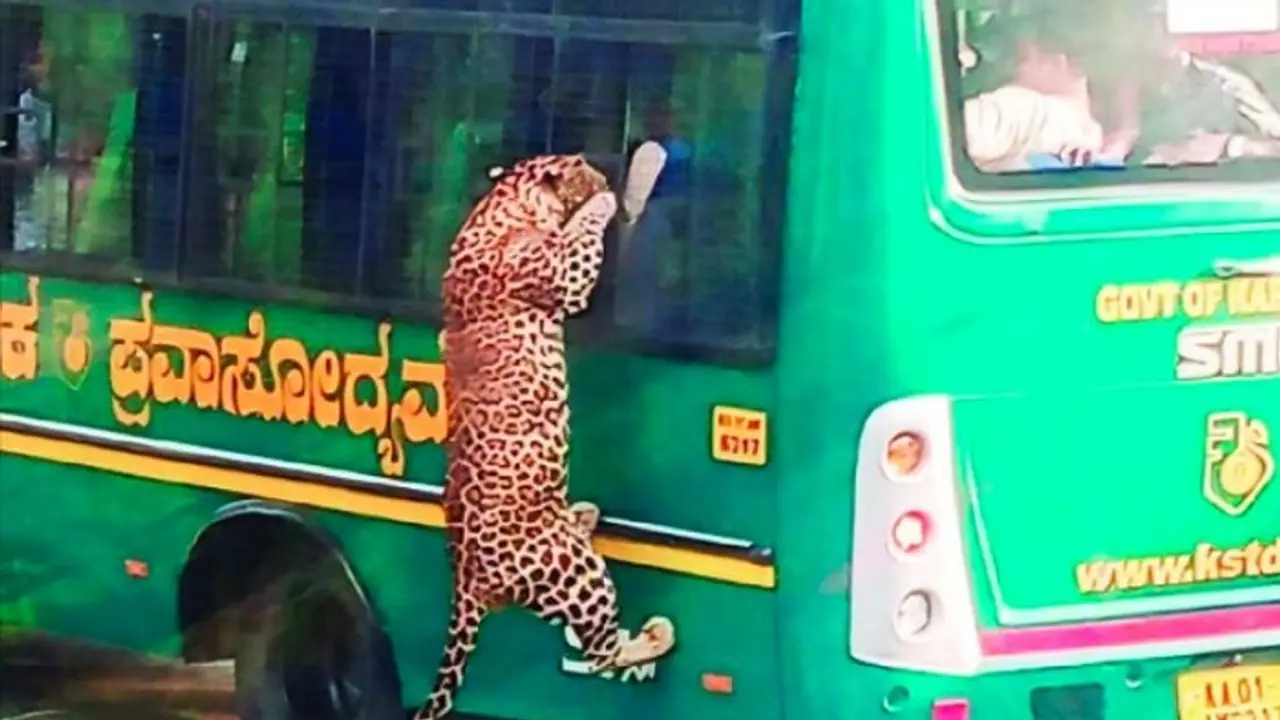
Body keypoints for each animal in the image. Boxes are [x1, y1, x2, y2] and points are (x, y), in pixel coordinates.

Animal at [414, 146, 675, 720]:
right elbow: (580, 237)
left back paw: (584, 514)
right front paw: (604, 199)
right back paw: (654, 636)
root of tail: (467, 586)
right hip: (578, 574)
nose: (605, 172)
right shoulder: (562, 273)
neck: (504, 202)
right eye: (583, 165)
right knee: (600, 654)